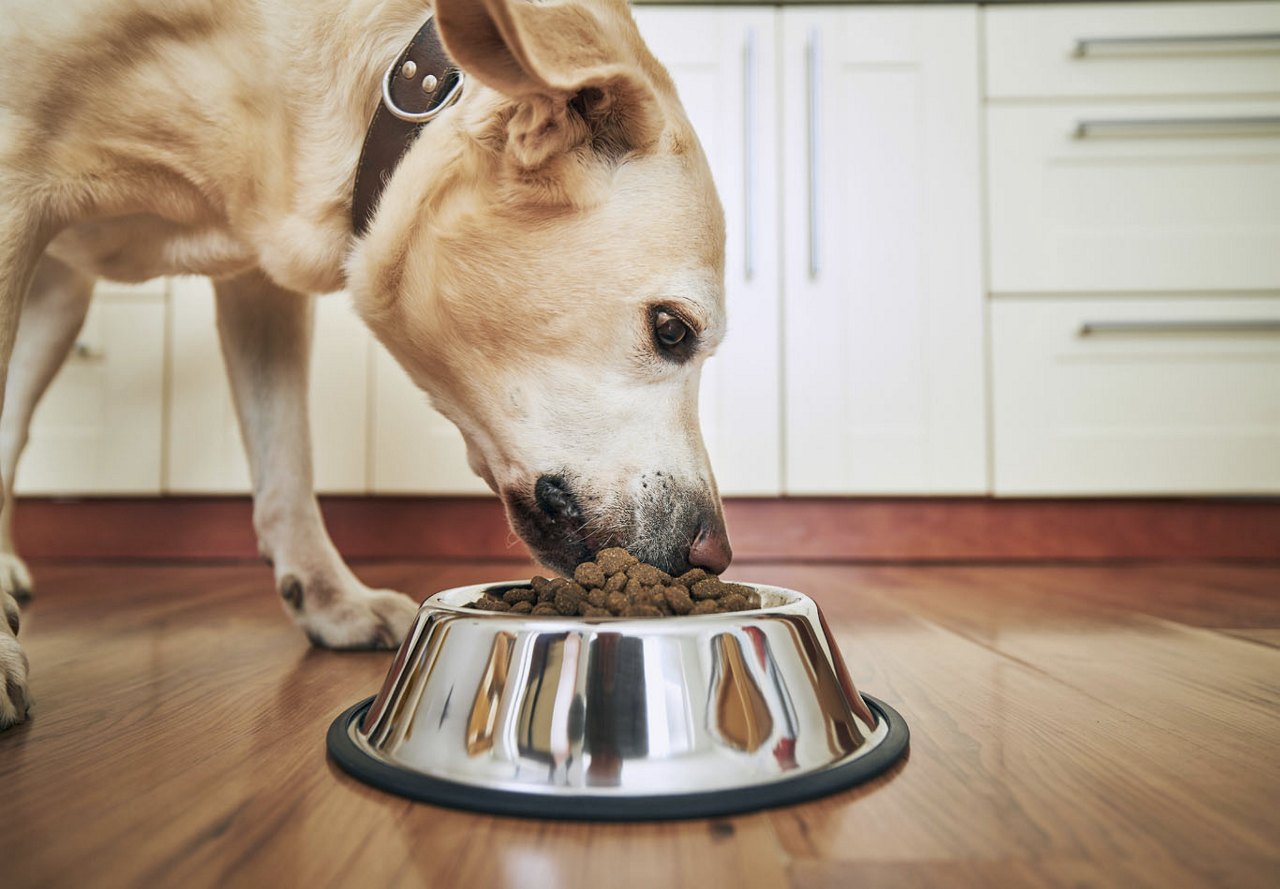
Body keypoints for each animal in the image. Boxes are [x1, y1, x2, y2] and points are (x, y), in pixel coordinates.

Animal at [0, 0, 737, 726]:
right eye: (673, 330)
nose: (717, 555)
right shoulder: (14, 188)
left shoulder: (261, 284)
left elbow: (287, 463)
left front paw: (330, 598)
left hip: (57, 302)